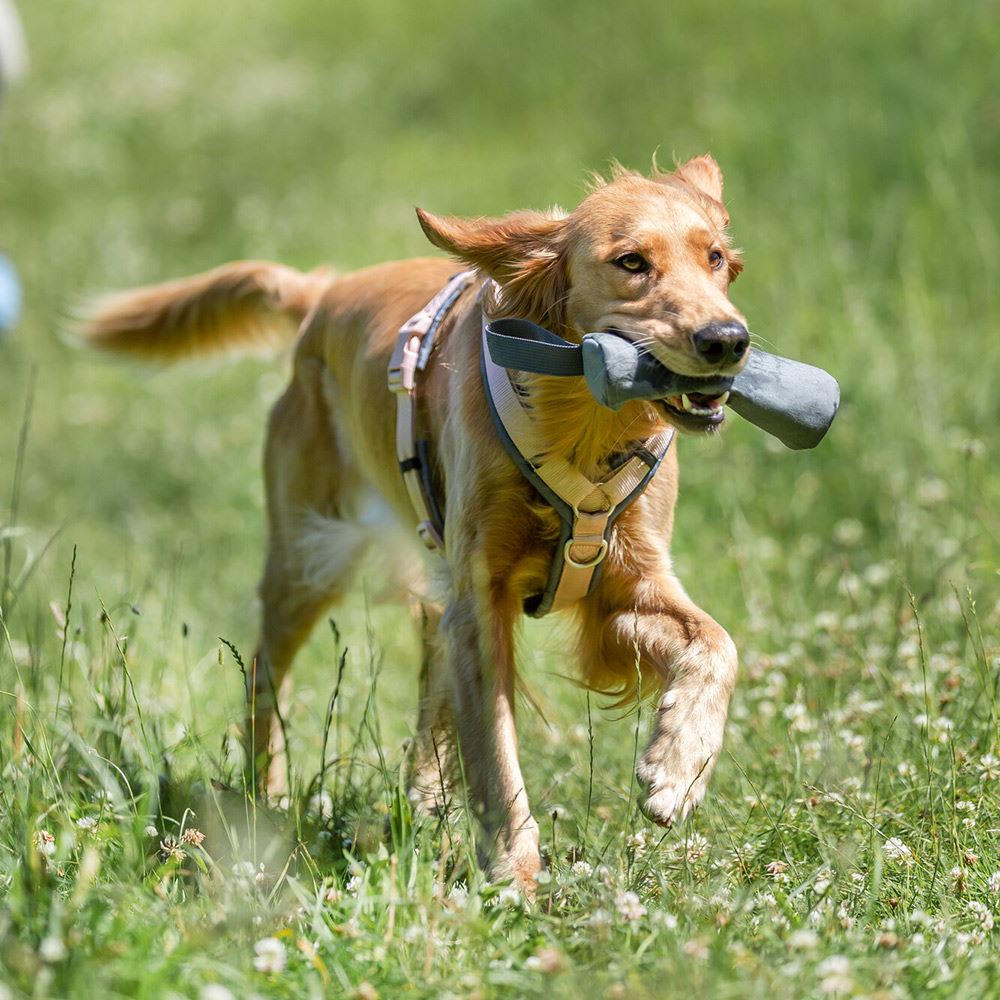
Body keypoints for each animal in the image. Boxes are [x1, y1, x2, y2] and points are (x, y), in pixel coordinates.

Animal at [80, 154, 752, 884]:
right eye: (631, 262)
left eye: (715, 257)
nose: (727, 339)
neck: (578, 421)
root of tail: (325, 292)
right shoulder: (481, 600)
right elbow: (496, 754)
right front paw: (515, 875)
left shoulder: (624, 584)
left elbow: (718, 644)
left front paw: (678, 768)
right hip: (310, 557)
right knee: (262, 672)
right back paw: (268, 795)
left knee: (429, 661)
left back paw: (424, 790)